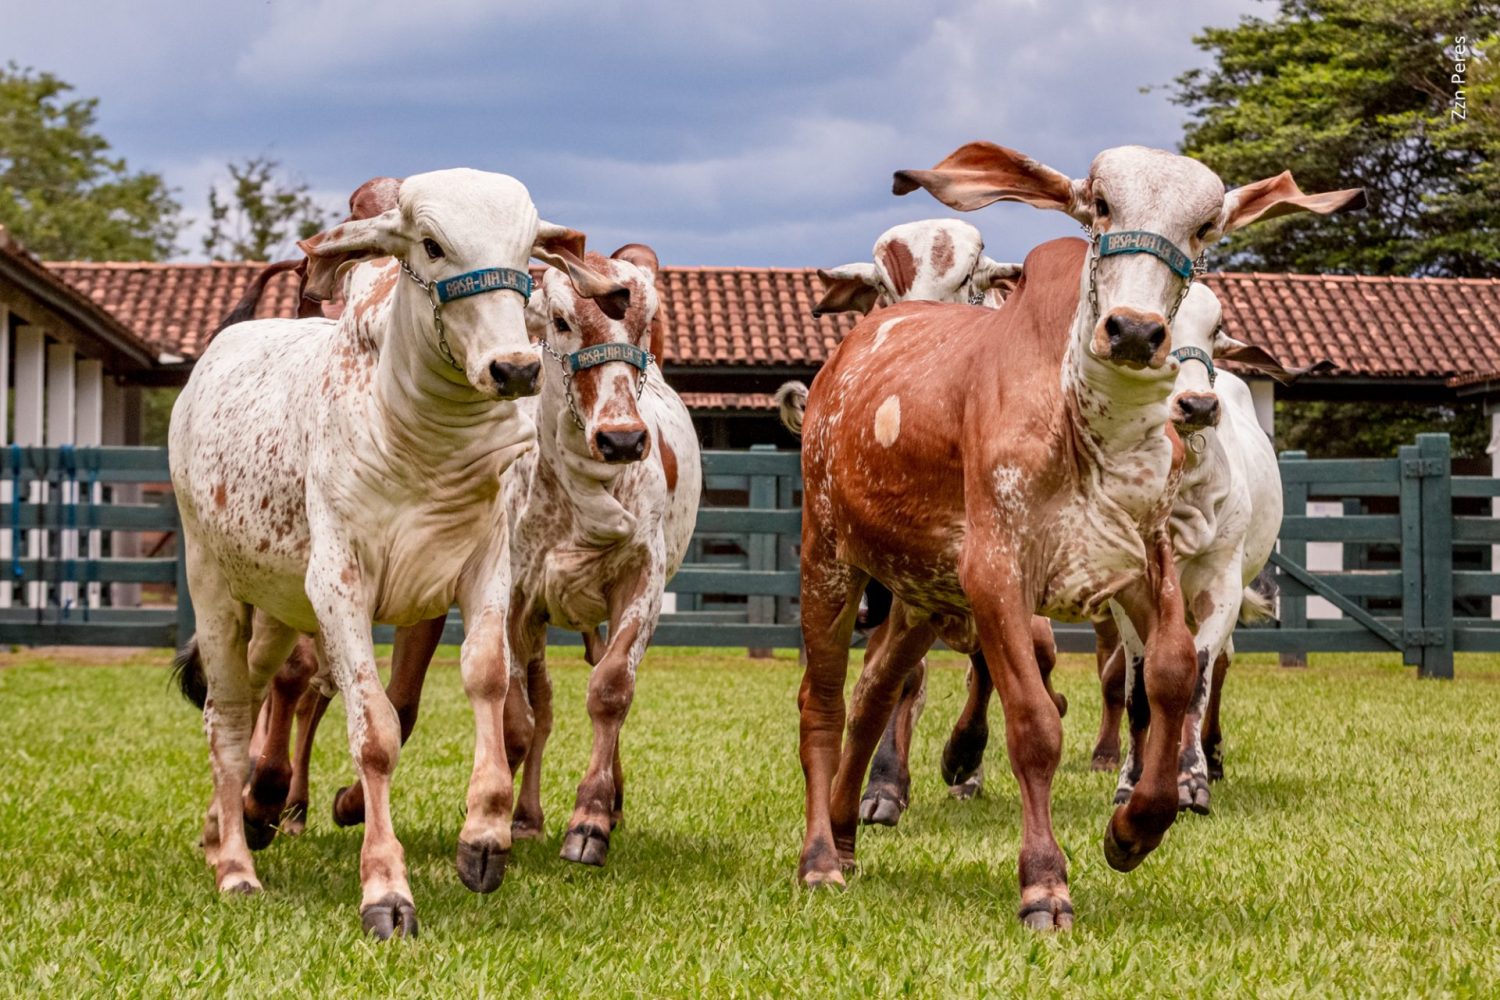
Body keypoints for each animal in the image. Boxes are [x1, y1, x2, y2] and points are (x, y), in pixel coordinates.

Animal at [792, 140, 1368, 929]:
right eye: (1099, 204)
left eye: (1205, 227)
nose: (1134, 331)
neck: (1087, 431)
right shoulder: (997, 575)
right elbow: (1036, 724)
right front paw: (1044, 882)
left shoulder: (1145, 569)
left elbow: (1171, 676)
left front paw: (1136, 825)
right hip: (830, 557)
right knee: (822, 700)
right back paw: (820, 857)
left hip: (919, 591)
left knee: (877, 690)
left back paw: (852, 829)